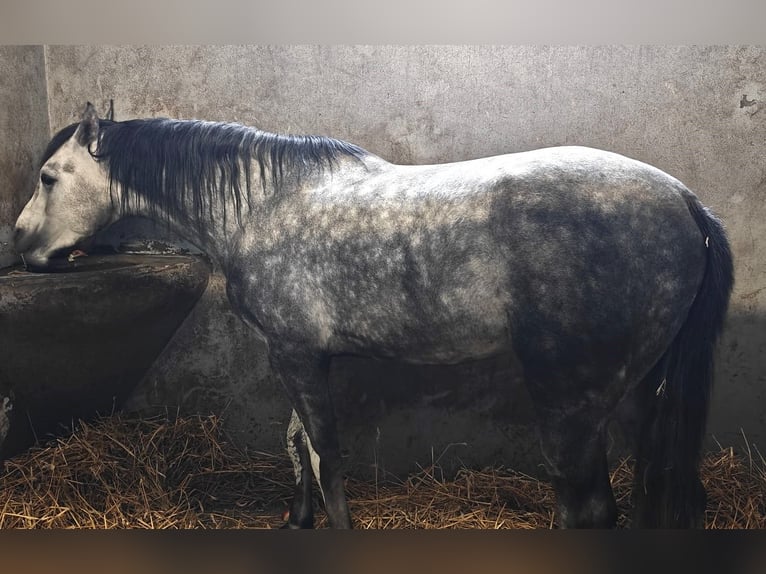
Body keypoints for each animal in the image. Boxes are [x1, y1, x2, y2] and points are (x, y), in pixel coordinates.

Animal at [14, 102, 733, 528]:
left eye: (49, 177)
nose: (21, 245)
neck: (263, 205)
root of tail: (684, 200)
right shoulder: (297, 354)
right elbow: (297, 444)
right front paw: (298, 521)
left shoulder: (296, 354)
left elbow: (326, 452)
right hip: (629, 394)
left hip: (572, 396)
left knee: (586, 500)